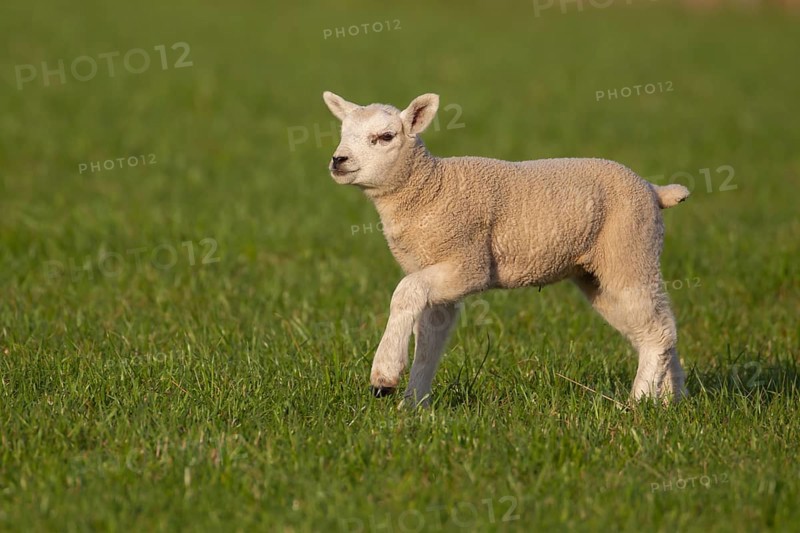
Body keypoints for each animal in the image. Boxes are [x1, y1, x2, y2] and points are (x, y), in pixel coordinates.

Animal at [322, 91, 690, 407]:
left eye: (385, 137)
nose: (338, 160)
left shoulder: (469, 262)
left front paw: (384, 376)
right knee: (657, 326)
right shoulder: (436, 275)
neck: (430, 189)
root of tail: (655, 190)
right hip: (602, 271)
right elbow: (428, 342)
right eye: (343, 132)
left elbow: (405, 292)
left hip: (629, 247)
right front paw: (413, 406)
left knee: (657, 330)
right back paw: (670, 399)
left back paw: (638, 402)